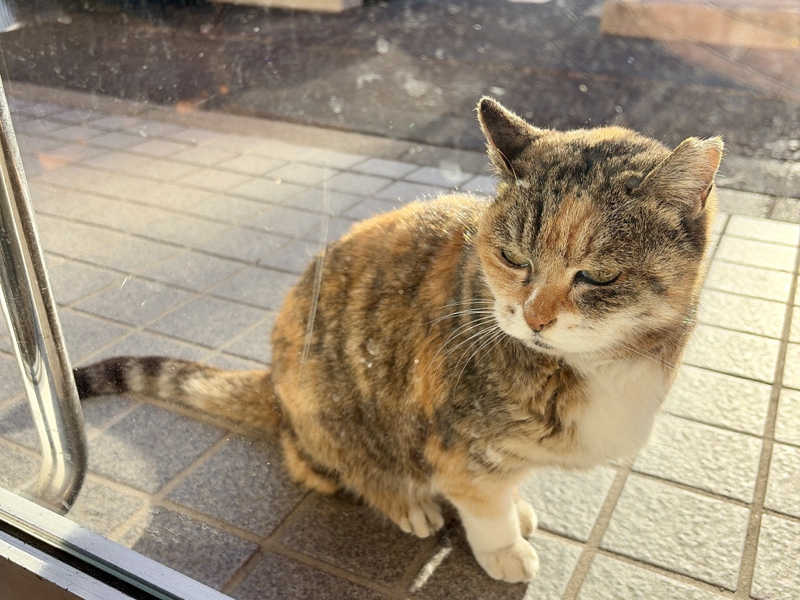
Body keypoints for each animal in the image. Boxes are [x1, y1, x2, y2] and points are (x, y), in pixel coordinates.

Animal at [74, 97, 722, 583]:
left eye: (600, 276)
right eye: (514, 258)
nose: (535, 318)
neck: (602, 364)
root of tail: (273, 382)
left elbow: (505, 488)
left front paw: (517, 508)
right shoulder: (459, 448)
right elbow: (483, 505)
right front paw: (504, 548)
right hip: (327, 411)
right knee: (329, 464)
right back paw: (406, 501)